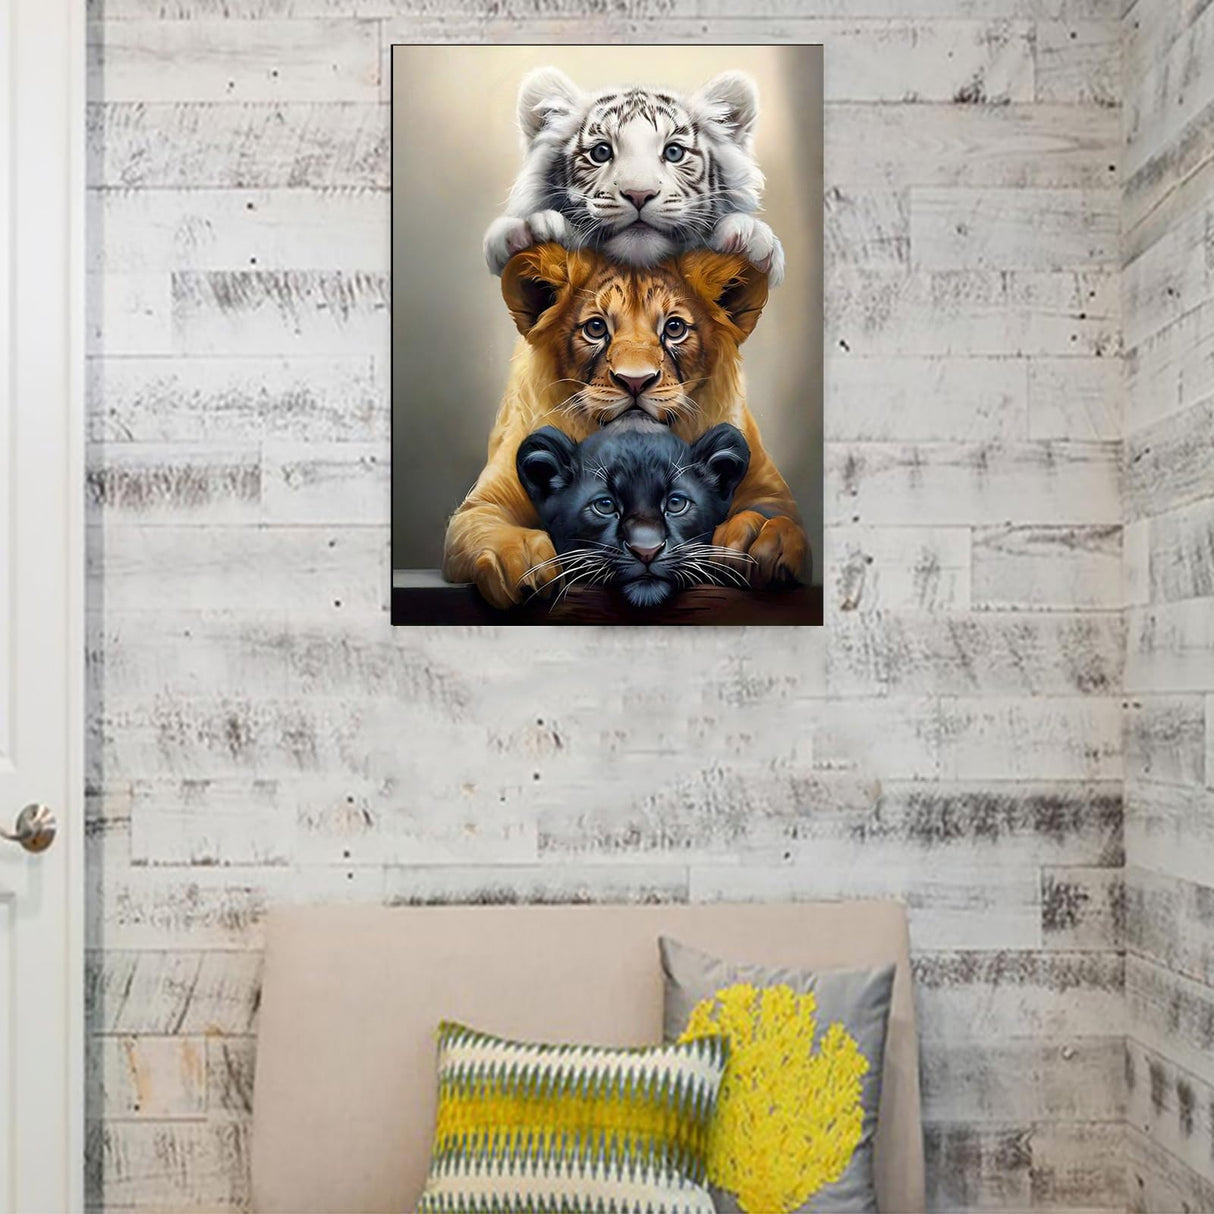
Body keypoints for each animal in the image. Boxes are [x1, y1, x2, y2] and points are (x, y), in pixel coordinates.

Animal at [441, 243, 808, 609]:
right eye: (595, 328)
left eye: (674, 328)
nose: (635, 381)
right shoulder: (485, 503)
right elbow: (487, 525)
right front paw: (519, 560)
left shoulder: (767, 488)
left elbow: (779, 515)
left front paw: (760, 538)